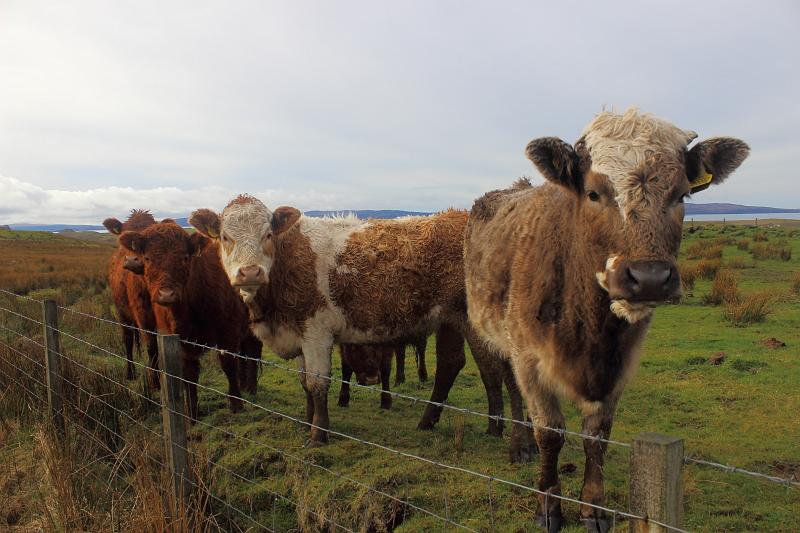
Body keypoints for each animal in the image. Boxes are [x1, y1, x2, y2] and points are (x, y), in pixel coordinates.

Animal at [103, 210, 158, 384]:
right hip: (122, 312)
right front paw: (155, 382)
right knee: (127, 340)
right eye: (124, 236)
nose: (133, 261)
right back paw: (130, 373)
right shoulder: (143, 315)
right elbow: (152, 347)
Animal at [118, 221, 263, 419]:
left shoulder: (227, 331)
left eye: (185, 258)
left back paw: (251, 389)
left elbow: (228, 364)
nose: (166, 294)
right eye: (147, 258)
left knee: (253, 353)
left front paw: (236, 404)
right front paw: (192, 413)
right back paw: (245, 386)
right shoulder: (180, 340)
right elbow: (189, 374)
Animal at [190, 201, 534, 461]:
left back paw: (521, 445)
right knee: (459, 365)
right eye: (225, 237)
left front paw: (318, 434)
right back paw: (459, 424)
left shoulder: (316, 332)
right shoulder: (298, 334)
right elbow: (304, 383)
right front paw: (307, 421)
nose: (250, 272)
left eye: (268, 233)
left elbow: (317, 383)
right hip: (452, 320)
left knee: (508, 372)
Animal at [464, 109, 749, 532]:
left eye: (681, 195)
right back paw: (520, 445)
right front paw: (549, 505)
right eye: (594, 193)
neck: (591, 326)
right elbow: (550, 432)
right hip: (497, 338)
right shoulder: (529, 358)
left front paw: (593, 508)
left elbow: (596, 436)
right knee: (513, 391)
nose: (649, 277)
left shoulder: (620, 366)